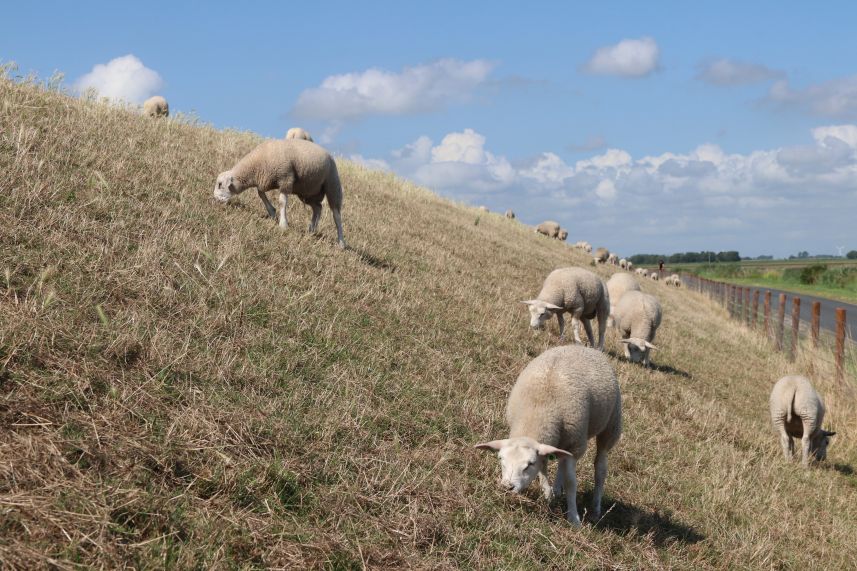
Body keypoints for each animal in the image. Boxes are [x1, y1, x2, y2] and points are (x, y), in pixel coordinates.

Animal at [213, 139, 344, 248]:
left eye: (220, 184)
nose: (215, 200)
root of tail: (328, 154)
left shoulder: (285, 178)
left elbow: (282, 202)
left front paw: (283, 224)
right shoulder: (265, 179)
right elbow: (260, 193)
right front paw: (272, 212)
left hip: (332, 184)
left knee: (336, 214)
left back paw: (341, 242)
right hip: (308, 191)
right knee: (318, 208)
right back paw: (312, 230)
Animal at [474, 344, 620, 528]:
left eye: (529, 464)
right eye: (501, 459)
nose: (507, 487)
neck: (539, 409)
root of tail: (584, 347)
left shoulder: (575, 445)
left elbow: (571, 483)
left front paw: (574, 519)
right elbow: (544, 468)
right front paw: (548, 494)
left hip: (611, 424)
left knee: (600, 467)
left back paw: (595, 509)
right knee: (560, 462)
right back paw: (556, 490)